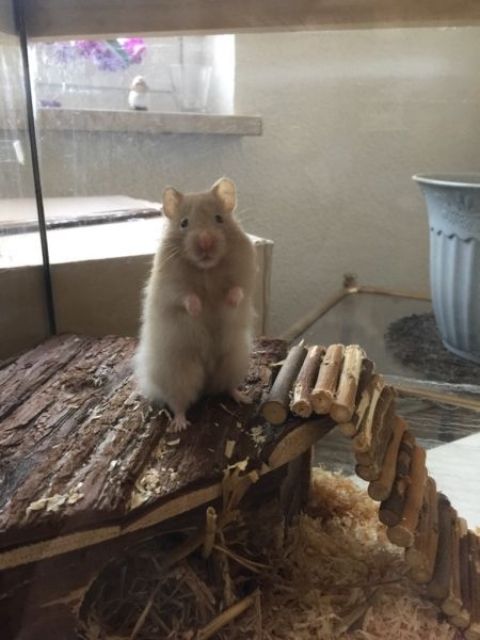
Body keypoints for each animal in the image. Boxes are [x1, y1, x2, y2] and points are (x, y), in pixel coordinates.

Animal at [135, 177, 257, 432]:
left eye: (219, 218)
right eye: (184, 223)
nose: (206, 242)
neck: (206, 269)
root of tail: (206, 384)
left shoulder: (246, 276)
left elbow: (238, 289)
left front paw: (229, 300)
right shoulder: (170, 288)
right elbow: (185, 297)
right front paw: (198, 308)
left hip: (234, 360)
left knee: (227, 387)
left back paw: (244, 397)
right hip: (179, 373)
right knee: (178, 403)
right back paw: (180, 425)